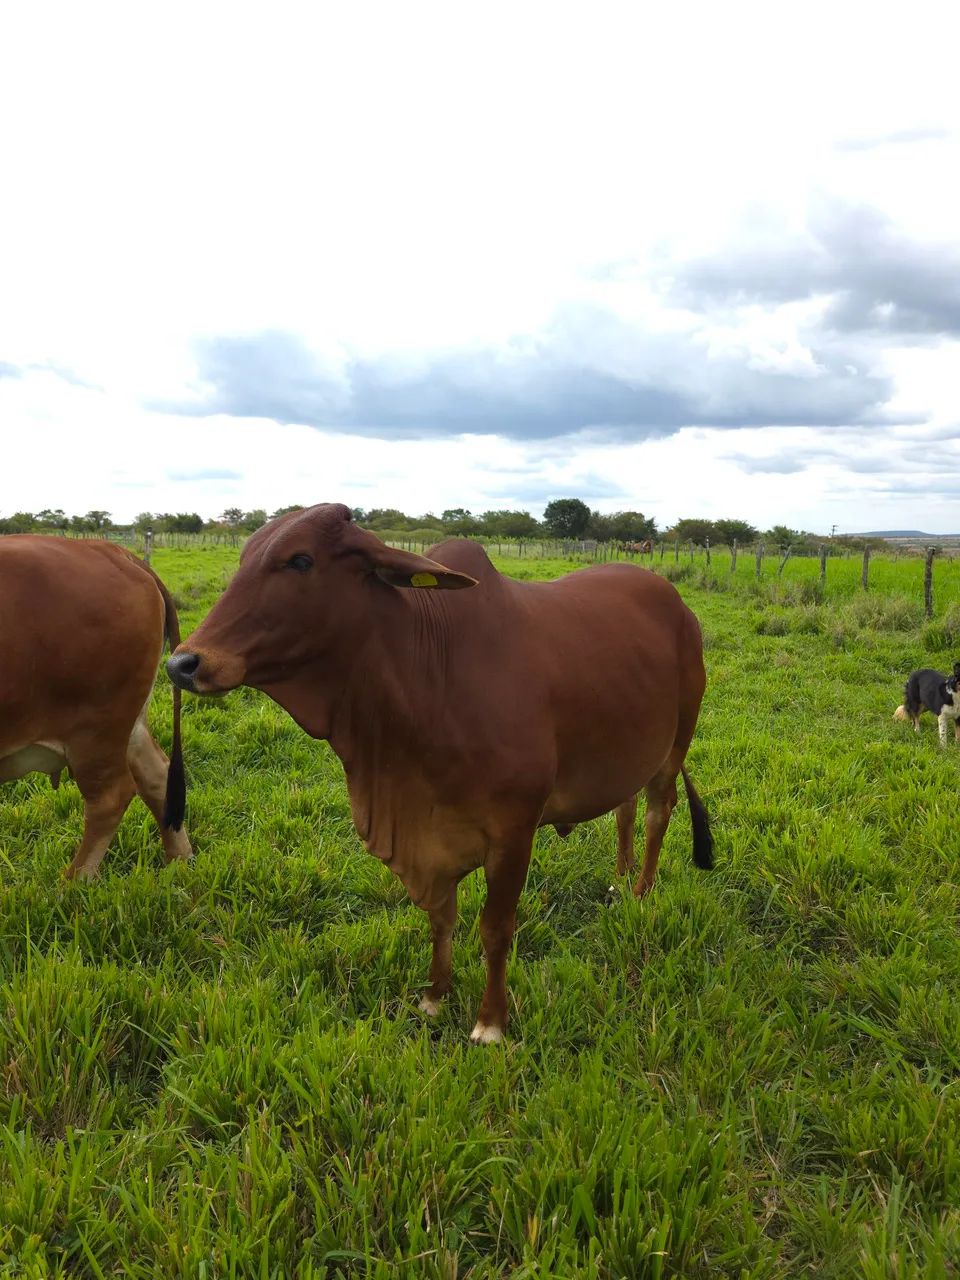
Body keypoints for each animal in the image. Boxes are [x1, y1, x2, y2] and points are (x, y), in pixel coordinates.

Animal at [0, 536, 190, 877]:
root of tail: (116, 552)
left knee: (110, 798)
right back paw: (179, 862)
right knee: (158, 777)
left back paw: (73, 882)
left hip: (95, 730)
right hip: (129, 725)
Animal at [167, 504, 712, 1042]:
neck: (428, 675)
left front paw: (490, 1023)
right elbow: (440, 918)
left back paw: (641, 892)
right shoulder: (428, 836)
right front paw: (434, 995)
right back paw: (620, 880)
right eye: (244, 559)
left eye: (300, 560)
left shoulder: (513, 832)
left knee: (658, 812)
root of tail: (675, 602)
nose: (182, 663)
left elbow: (496, 927)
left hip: (676, 743)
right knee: (625, 806)